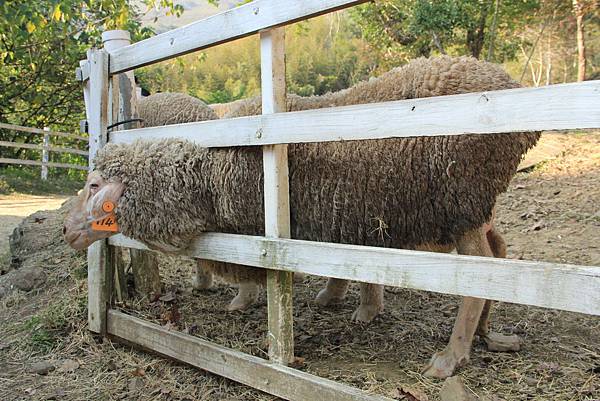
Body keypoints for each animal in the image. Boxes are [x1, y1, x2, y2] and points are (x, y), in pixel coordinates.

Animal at [62, 56, 540, 378]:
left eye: (94, 186)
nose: (66, 228)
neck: (207, 179)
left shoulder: (260, 230)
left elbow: (253, 276)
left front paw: (246, 304)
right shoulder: (347, 217)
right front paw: (354, 304)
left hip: (463, 201)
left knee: (481, 274)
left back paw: (451, 357)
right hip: (476, 206)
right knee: (499, 254)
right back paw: (489, 335)